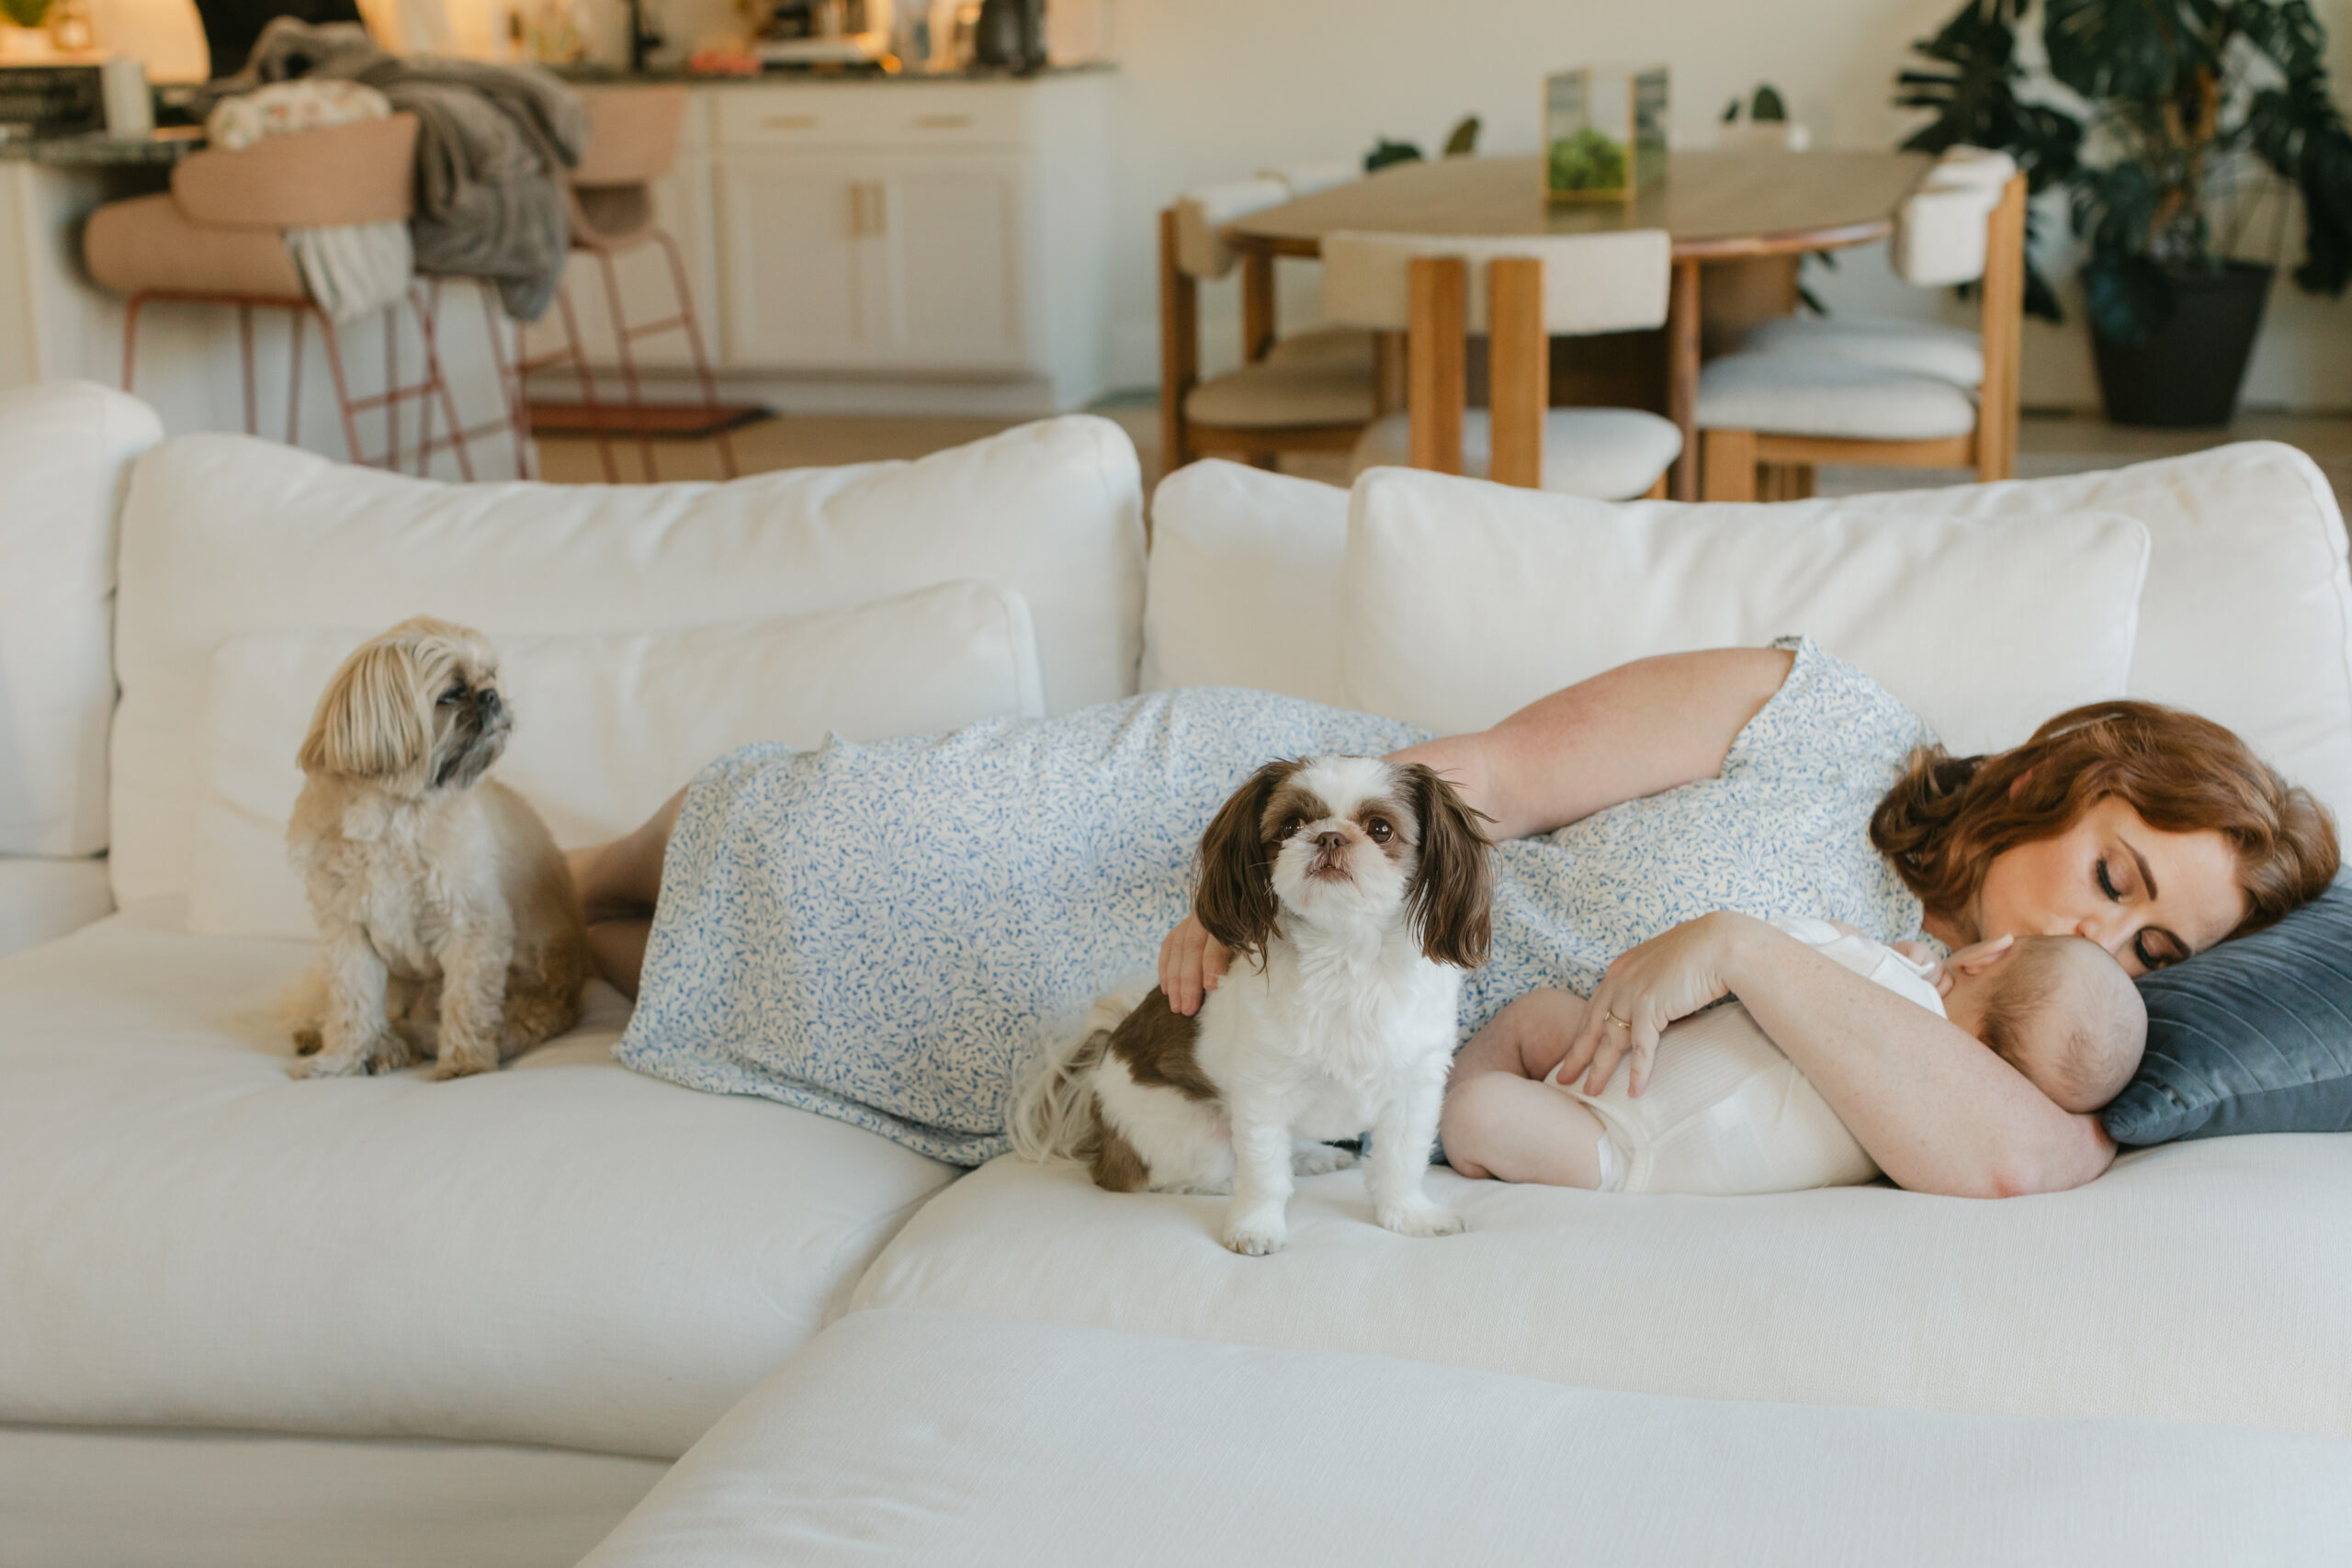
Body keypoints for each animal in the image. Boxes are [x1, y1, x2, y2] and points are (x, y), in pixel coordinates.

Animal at [280, 611, 588, 1081]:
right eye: (453, 692)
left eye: (490, 674)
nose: (492, 695)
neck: (392, 813)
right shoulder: (348, 934)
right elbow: (352, 1007)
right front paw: (339, 1061)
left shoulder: (473, 925)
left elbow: (466, 1002)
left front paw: (463, 1064)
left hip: (530, 997)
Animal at [1011, 751, 1486, 1259]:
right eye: (1291, 825)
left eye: (1381, 829)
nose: (1329, 836)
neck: (1346, 957)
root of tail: (1100, 1067)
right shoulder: (1264, 1089)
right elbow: (1263, 1173)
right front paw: (1255, 1227)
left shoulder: (1416, 1084)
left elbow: (1401, 1161)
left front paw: (1410, 1216)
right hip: (1192, 1133)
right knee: (1153, 1176)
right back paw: (1222, 1184)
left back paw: (1312, 1156)